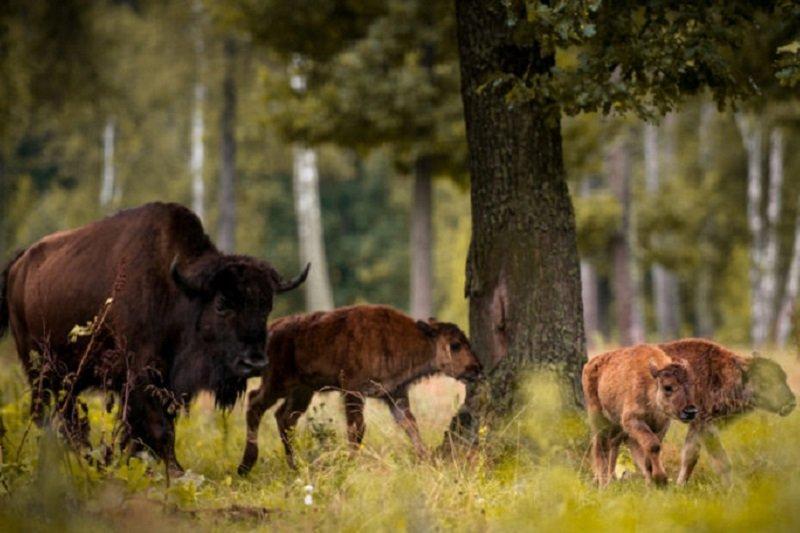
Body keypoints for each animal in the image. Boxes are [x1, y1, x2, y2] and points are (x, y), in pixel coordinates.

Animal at [0, 202, 306, 472]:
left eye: (267, 306)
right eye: (221, 303)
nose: (254, 363)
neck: (177, 291)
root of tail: (19, 263)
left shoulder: (166, 382)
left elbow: (153, 429)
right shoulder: (139, 374)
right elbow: (158, 428)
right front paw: (175, 471)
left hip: (68, 377)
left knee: (68, 417)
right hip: (38, 368)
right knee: (44, 413)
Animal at [238, 302, 482, 472]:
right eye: (455, 345)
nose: (477, 368)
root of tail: (273, 328)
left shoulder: (395, 395)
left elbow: (410, 425)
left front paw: (427, 460)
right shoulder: (353, 391)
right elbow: (357, 429)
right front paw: (351, 463)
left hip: (302, 390)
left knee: (284, 418)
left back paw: (294, 465)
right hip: (277, 382)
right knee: (255, 403)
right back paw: (246, 465)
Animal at [584, 344, 696, 486]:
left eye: (692, 385)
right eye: (668, 387)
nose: (690, 411)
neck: (651, 385)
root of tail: (589, 364)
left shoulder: (661, 426)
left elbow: (651, 450)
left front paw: (654, 480)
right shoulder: (632, 420)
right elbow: (653, 445)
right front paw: (661, 479)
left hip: (617, 425)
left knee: (613, 444)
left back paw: (611, 480)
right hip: (597, 416)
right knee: (600, 446)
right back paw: (603, 484)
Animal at [656, 338, 792, 484]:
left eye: (784, 377)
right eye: (765, 381)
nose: (791, 403)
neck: (720, 374)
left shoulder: (697, 427)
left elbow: (690, 456)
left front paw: (680, 484)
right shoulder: (705, 425)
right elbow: (722, 462)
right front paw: (730, 487)